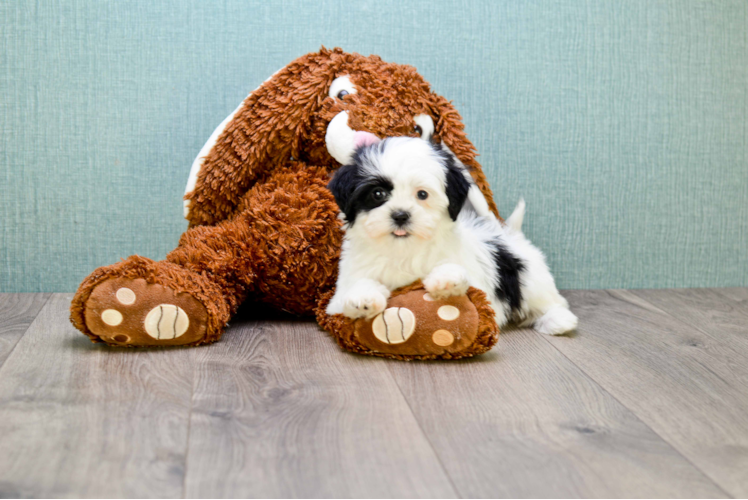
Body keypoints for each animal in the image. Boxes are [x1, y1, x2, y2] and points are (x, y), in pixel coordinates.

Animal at [324, 137, 576, 336]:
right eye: (377, 194)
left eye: (422, 194)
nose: (401, 215)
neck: (404, 249)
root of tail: (508, 232)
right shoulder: (341, 292)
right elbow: (355, 288)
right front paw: (363, 298)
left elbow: (461, 277)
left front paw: (446, 279)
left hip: (531, 280)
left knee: (550, 301)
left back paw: (558, 320)